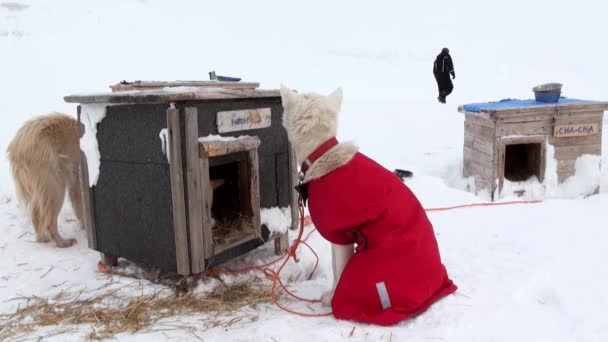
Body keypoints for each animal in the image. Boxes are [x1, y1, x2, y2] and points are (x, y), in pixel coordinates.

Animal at [7, 113, 83, 247]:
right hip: (56, 185)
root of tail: (18, 147)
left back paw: (43, 238)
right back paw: (62, 242)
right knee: (49, 223)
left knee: (36, 215)